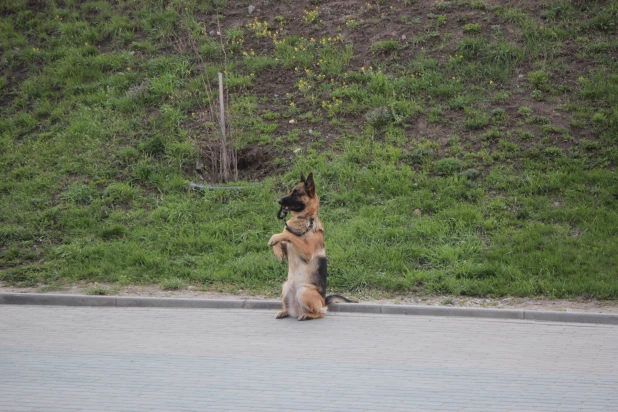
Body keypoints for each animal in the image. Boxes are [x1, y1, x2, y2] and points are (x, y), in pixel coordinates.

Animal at [268, 172, 354, 320]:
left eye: (296, 193)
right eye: (291, 191)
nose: (279, 201)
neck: (305, 220)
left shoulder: (307, 251)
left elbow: (287, 234)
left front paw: (274, 238)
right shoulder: (288, 249)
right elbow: (284, 239)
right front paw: (277, 252)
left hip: (303, 291)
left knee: (320, 313)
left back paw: (307, 315)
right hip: (285, 287)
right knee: (290, 308)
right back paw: (285, 312)